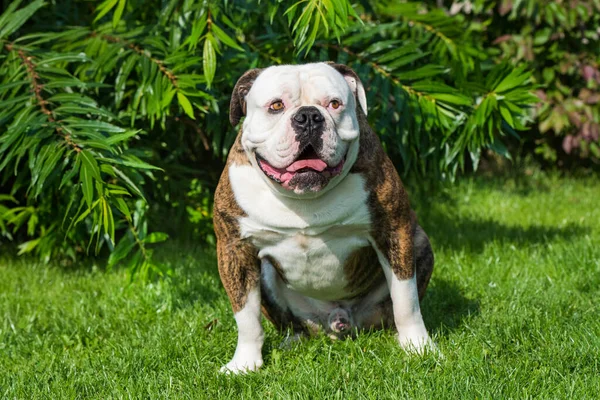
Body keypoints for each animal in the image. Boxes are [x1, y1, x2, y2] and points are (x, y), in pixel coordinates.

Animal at [213, 61, 434, 374]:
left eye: (334, 104)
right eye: (276, 106)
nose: (308, 116)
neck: (304, 199)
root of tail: (337, 321)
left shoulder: (394, 232)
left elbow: (406, 300)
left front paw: (419, 346)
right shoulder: (234, 248)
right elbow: (246, 315)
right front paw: (244, 363)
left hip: (420, 243)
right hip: (271, 280)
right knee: (293, 324)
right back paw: (293, 340)